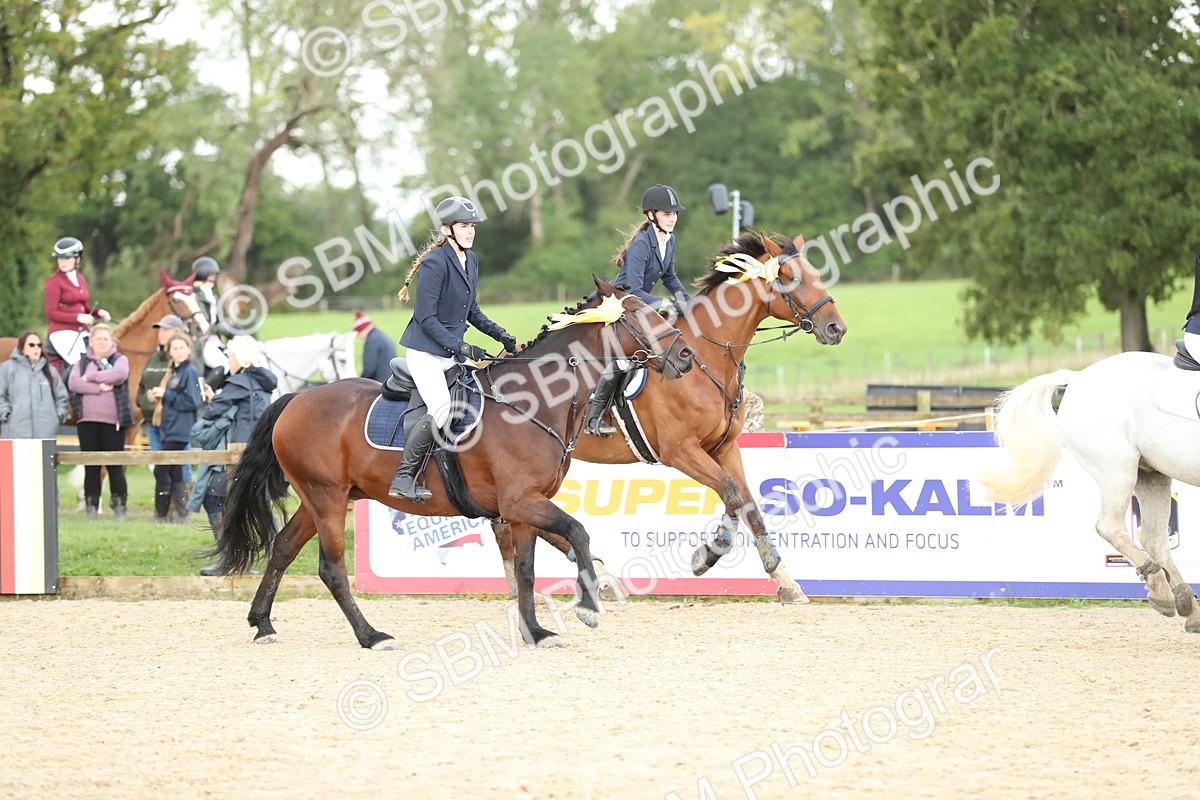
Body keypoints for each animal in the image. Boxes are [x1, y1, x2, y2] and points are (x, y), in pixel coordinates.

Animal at [212, 277, 695, 649]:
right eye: (639, 315)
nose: (686, 356)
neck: (531, 403)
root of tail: (296, 399)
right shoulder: (521, 502)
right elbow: (577, 533)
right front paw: (589, 607)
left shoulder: (520, 509)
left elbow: (526, 570)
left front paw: (536, 632)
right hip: (327, 498)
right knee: (331, 568)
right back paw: (371, 636)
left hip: (320, 499)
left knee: (282, 548)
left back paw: (263, 624)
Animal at [492, 232, 846, 603]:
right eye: (794, 279)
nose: (836, 328)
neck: (706, 357)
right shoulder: (680, 451)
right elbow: (731, 493)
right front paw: (708, 554)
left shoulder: (724, 448)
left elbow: (747, 503)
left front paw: (784, 580)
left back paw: (590, 579)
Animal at [977, 351, 1200, 633]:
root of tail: (1079, 377)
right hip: (1117, 470)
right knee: (1111, 527)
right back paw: (1162, 592)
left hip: (1152, 474)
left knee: (1154, 539)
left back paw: (1187, 606)